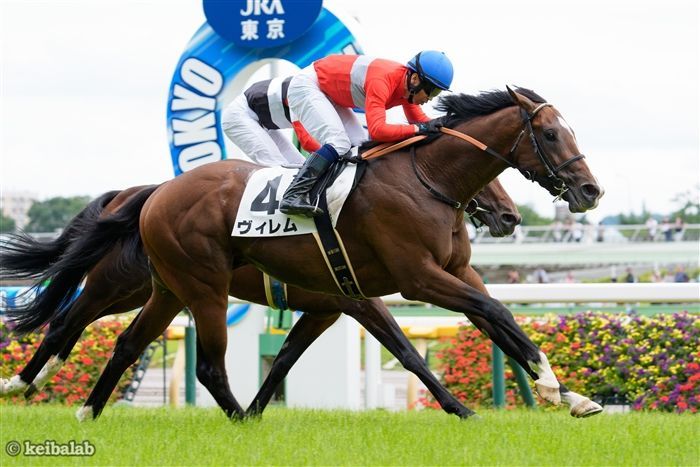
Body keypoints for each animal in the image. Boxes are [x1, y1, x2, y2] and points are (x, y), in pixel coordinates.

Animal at [1, 180, 519, 407]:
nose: (510, 215)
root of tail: (140, 194)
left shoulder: (329, 309)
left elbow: (285, 359)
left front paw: (253, 412)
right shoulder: (358, 301)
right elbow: (409, 354)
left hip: (156, 289)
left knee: (112, 337)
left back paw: (48, 387)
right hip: (123, 283)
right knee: (67, 319)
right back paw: (24, 381)